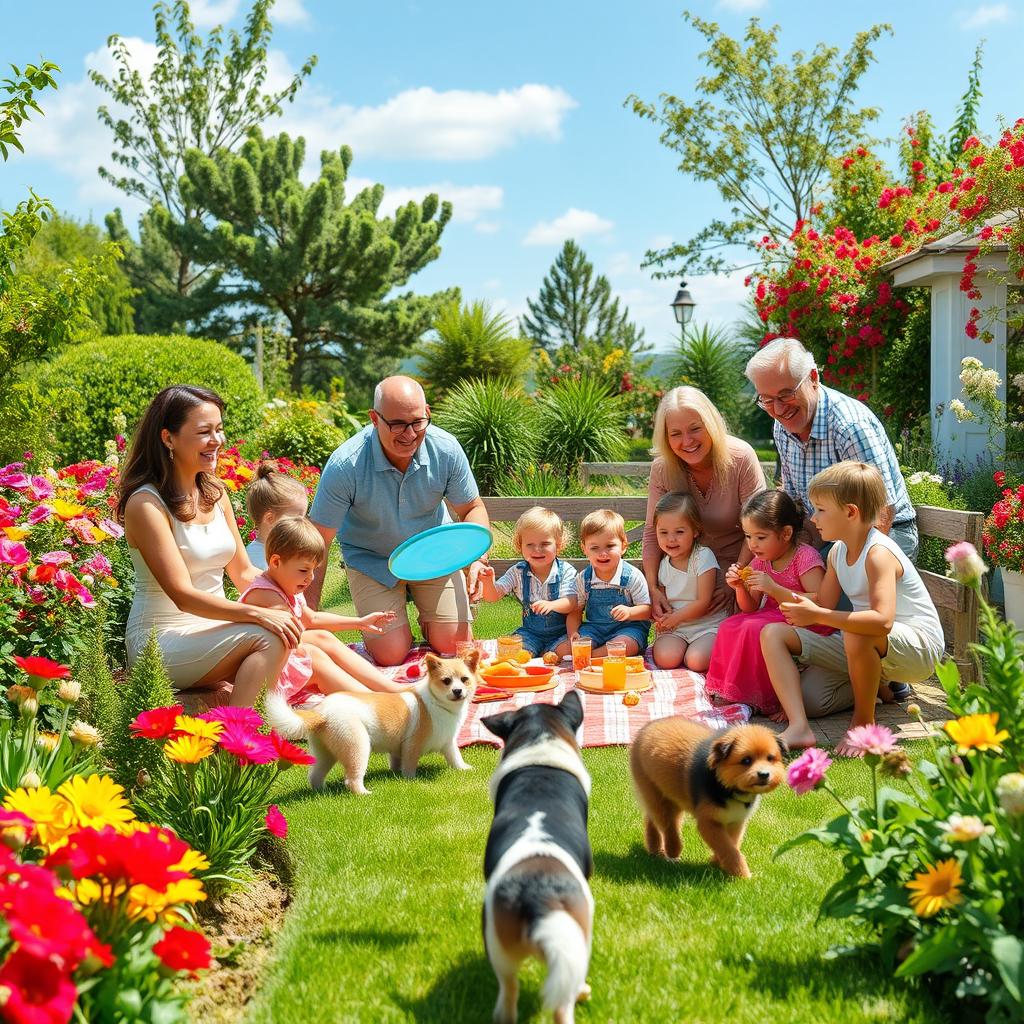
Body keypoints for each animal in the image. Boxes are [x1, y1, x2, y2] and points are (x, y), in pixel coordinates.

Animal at [268, 651, 483, 794]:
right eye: (446, 681)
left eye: (465, 679)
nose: (458, 691)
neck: (436, 702)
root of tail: (321, 712)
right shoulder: (412, 745)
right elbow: (409, 766)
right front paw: (410, 780)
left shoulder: (447, 742)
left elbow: (454, 757)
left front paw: (464, 769)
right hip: (358, 747)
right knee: (352, 779)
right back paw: (364, 793)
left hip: (325, 753)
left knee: (315, 775)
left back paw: (321, 792)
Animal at [481, 688, 598, 1024]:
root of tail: (538, 893)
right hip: (577, 940)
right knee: (562, 1004)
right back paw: (580, 994)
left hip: (500, 949)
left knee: (508, 990)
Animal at [626, 716, 786, 876]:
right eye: (746, 760)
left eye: (770, 758)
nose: (764, 774)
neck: (725, 785)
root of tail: (648, 726)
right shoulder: (708, 822)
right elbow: (727, 847)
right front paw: (742, 874)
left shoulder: (736, 820)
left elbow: (732, 843)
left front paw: (716, 861)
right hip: (656, 793)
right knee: (668, 824)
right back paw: (672, 851)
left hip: (670, 797)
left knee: (652, 818)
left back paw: (655, 849)